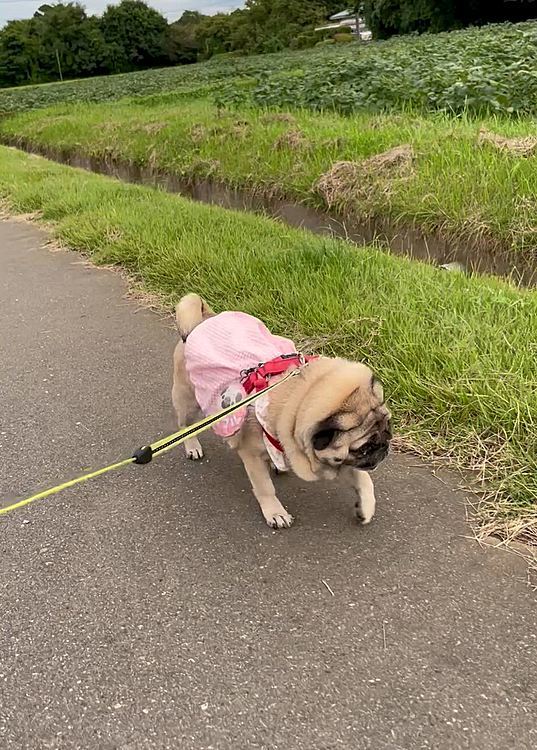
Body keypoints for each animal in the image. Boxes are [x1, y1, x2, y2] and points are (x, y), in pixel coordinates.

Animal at [172, 294, 390, 528]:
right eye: (364, 449)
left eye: (389, 429)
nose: (384, 449)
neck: (299, 396)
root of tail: (204, 319)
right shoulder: (252, 455)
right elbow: (265, 487)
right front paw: (275, 512)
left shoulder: (339, 461)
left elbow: (364, 479)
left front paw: (366, 507)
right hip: (188, 400)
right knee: (184, 425)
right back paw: (192, 446)